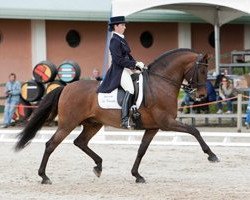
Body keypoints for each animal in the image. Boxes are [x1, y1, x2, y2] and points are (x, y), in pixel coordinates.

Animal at [15, 48, 219, 184]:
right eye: (202, 71)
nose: (201, 95)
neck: (161, 83)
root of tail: (65, 87)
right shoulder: (167, 123)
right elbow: (194, 131)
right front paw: (212, 155)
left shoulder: (153, 127)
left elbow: (141, 150)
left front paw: (137, 175)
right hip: (68, 123)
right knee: (51, 144)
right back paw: (44, 176)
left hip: (93, 124)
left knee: (80, 142)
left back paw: (98, 166)